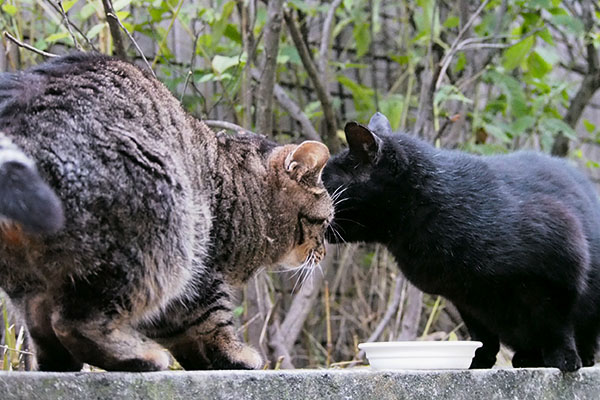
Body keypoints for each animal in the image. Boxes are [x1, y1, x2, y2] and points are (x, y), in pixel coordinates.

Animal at [0, 53, 332, 372]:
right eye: (325, 223)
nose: (323, 253)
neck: (244, 189)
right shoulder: (201, 268)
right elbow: (213, 319)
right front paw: (234, 354)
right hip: (159, 240)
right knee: (72, 323)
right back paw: (140, 357)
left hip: (29, 281)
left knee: (43, 329)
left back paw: (63, 363)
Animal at [324, 111, 600, 372]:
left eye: (324, 182)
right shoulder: (468, 297)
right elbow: (482, 336)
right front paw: (478, 361)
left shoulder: (562, 266)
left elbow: (557, 323)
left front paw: (564, 358)